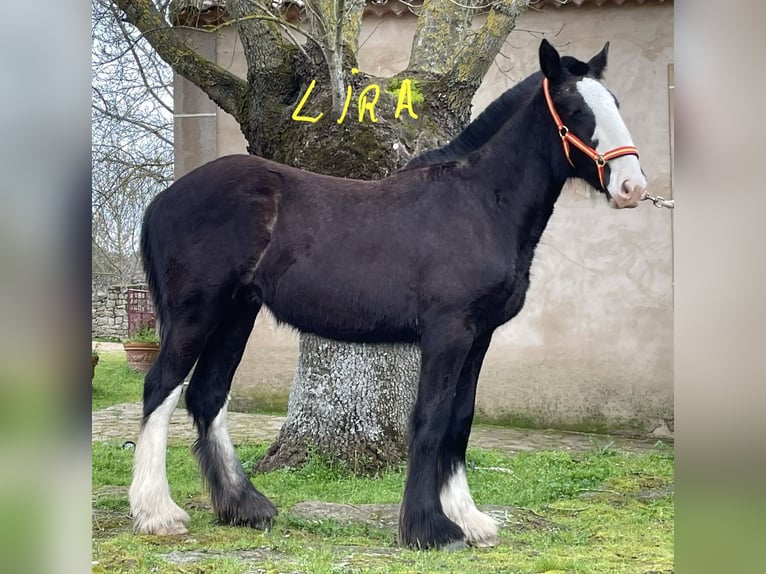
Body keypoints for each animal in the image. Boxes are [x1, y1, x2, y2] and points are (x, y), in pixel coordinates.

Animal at [128, 39, 647, 550]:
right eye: (575, 109)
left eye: (616, 103)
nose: (631, 187)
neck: (480, 203)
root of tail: (162, 200)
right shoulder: (447, 333)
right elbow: (431, 419)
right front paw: (430, 528)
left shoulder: (478, 337)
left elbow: (460, 420)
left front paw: (469, 519)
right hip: (196, 314)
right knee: (160, 389)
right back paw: (157, 513)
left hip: (238, 312)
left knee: (207, 395)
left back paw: (245, 507)